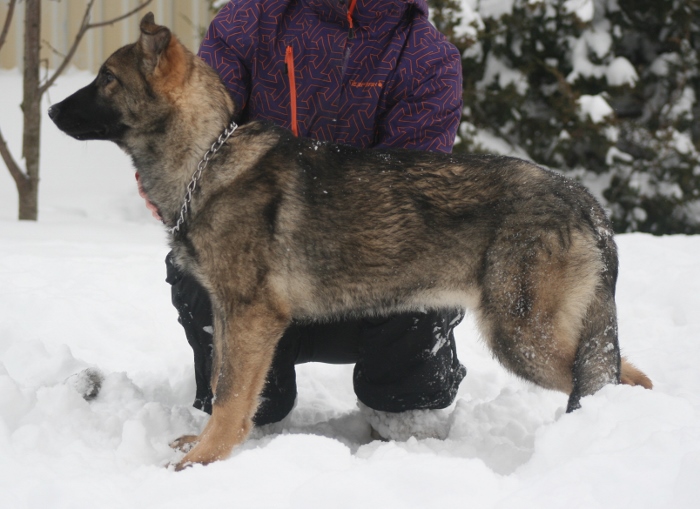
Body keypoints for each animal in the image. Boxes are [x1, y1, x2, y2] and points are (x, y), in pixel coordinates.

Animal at [47, 12, 652, 472]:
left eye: (106, 79)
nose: (49, 109)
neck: (207, 158)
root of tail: (583, 199)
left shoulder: (250, 318)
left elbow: (230, 397)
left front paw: (202, 461)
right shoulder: (228, 317)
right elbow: (225, 388)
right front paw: (202, 446)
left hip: (522, 337)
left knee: (618, 377)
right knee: (624, 374)